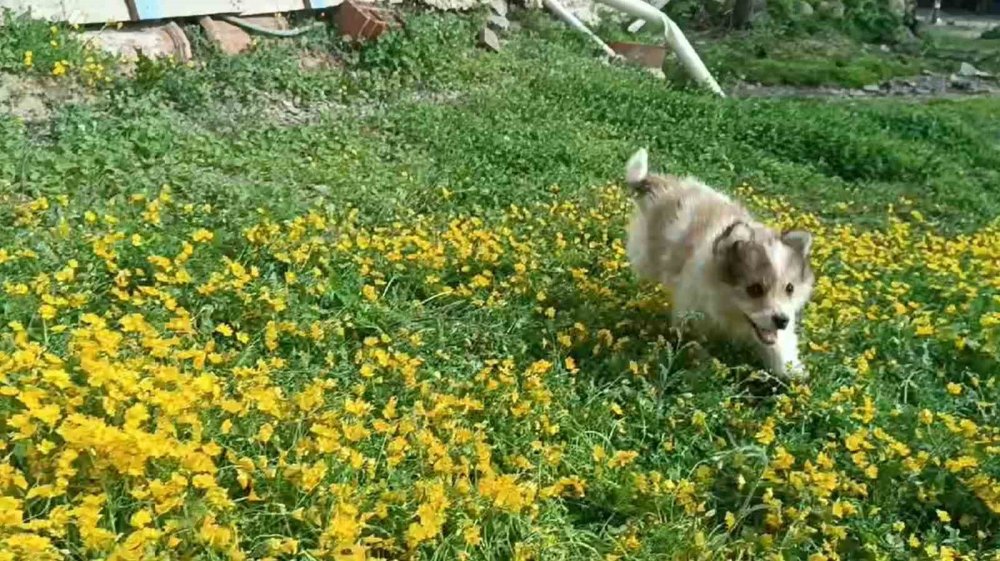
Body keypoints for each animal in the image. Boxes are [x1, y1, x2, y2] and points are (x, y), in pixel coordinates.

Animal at [624, 147, 812, 378]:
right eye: (755, 289)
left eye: (790, 288)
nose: (782, 321)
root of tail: (663, 185)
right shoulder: (692, 310)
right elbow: (694, 341)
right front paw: (704, 367)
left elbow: (779, 345)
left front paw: (793, 372)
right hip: (646, 256)